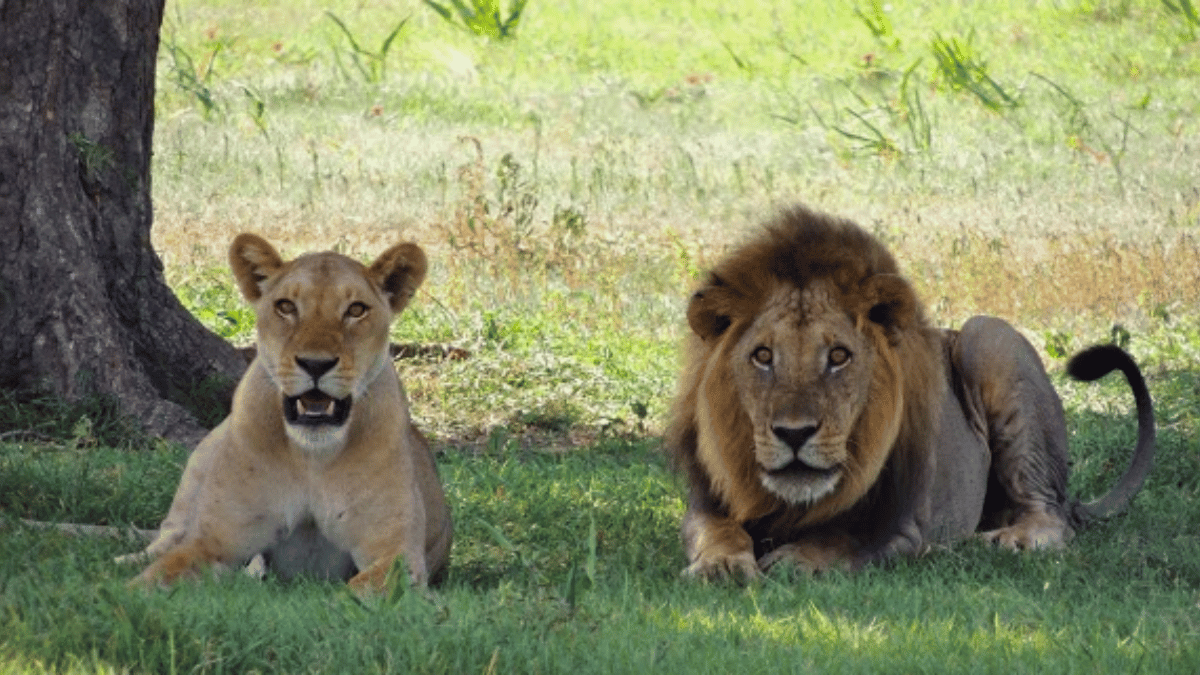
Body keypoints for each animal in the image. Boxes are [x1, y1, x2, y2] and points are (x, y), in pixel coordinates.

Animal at [127, 233, 452, 591]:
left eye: (356, 310)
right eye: (286, 306)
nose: (315, 364)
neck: (312, 457)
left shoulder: (396, 553)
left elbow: (359, 591)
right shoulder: (213, 542)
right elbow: (152, 579)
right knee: (163, 539)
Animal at [666, 205, 1156, 579]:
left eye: (839, 356)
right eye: (763, 356)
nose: (794, 433)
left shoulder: (904, 525)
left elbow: (844, 540)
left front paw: (796, 560)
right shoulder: (707, 503)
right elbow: (718, 531)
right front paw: (721, 565)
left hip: (989, 337)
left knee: (1051, 516)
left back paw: (1007, 540)